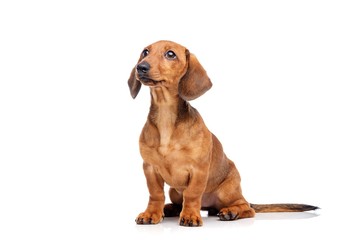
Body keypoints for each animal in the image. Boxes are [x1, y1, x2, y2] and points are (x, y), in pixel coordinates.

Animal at [127, 40, 318, 226]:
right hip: (175, 191)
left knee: (247, 208)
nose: (141, 67)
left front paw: (190, 216)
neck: (166, 116)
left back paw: (230, 212)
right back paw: (170, 209)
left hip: (227, 192)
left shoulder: (198, 170)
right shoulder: (150, 168)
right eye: (145, 52)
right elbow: (156, 194)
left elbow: (192, 195)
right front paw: (151, 213)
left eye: (170, 54)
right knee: (180, 202)